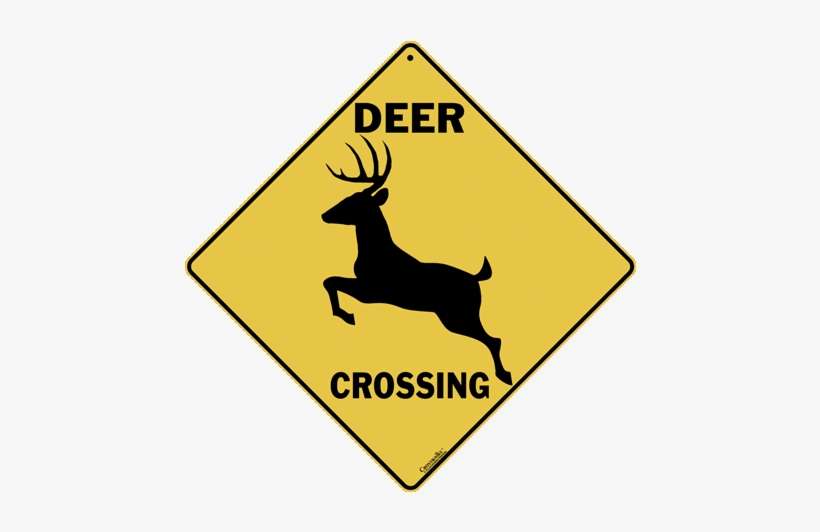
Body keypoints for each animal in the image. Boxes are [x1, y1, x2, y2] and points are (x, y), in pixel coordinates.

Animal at [321, 136, 512, 385]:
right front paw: (344, 314)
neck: (375, 251)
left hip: (459, 314)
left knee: (493, 339)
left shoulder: (373, 291)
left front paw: (346, 315)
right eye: (346, 197)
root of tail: (476, 278)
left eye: (354, 201)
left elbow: (331, 280)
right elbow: (330, 280)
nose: (325, 215)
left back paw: (504, 375)